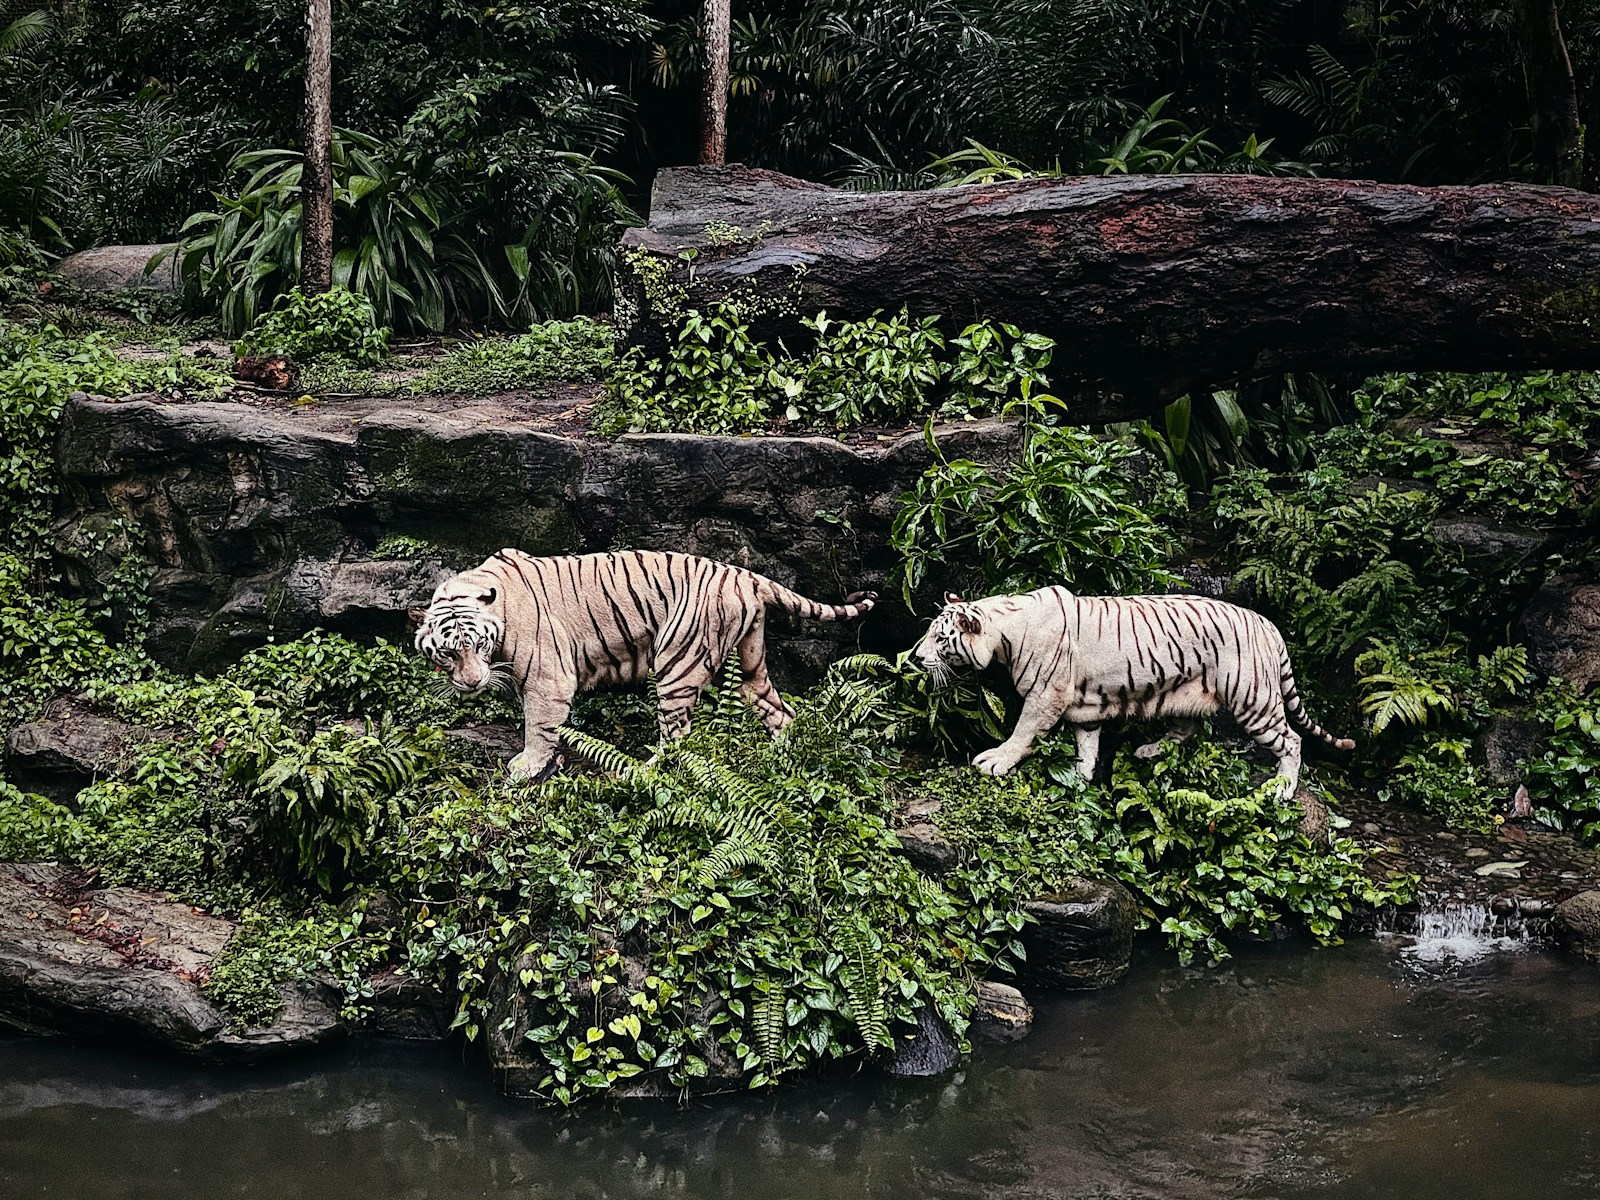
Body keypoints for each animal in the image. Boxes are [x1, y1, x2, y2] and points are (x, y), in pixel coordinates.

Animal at [403, 553, 876, 780]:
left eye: (477, 645)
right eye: (448, 653)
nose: (472, 684)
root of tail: (745, 574)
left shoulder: (548, 680)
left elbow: (538, 727)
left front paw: (526, 767)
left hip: (676, 664)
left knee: (679, 737)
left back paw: (642, 771)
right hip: (749, 662)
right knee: (779, 710)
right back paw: (783, 757)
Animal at [915, 588, 1350, 793]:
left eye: (940, 638)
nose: (915, 658)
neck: (1005, 632)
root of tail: (1268, 624)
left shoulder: (1044, 696)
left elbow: (1022, 732)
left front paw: (995, 761)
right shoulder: (1083, 706)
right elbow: (1086, 744)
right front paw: (1081, 777)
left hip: (1253, 698)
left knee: (1291, 740)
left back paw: (1283, 788)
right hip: (1187, 691)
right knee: (1186, 729)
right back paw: (1150, 749)